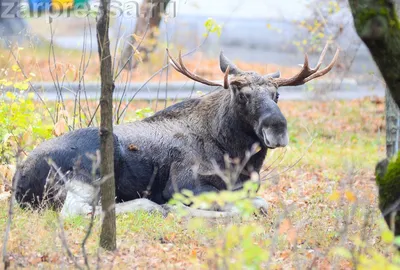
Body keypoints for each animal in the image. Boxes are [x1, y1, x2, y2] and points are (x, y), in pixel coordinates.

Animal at [13, 44, 338, 215]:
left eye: (277, 95)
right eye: (242, 94)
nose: (278, 128)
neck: (235, 157)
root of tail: (18, 182)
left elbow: (258, 200)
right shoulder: (184, 184)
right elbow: (241, 204)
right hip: (91, 162)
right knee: (79, 211)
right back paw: (152, 205)